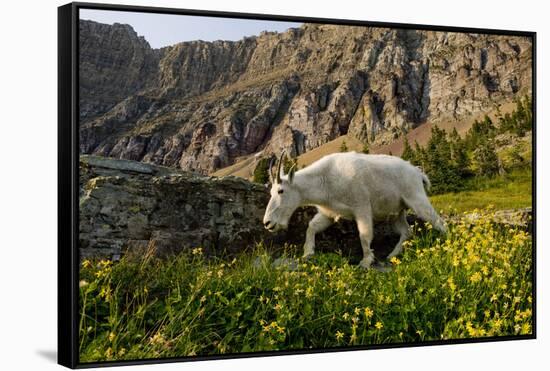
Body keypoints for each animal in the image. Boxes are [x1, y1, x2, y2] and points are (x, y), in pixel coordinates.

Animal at [264, 151, 448, 270]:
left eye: (281, 191)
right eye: (271, 192)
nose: (268, 223)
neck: (325, 180)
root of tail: (418, 173)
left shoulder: (362, 207)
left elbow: (364, 235)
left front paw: (365, 262)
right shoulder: (328, 213)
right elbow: (312, 227)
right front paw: (307, 253)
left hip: (416, 197)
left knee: (438, 221)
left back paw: (448, 243)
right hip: (397, 212)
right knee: (406, 231)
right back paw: (391, 255)